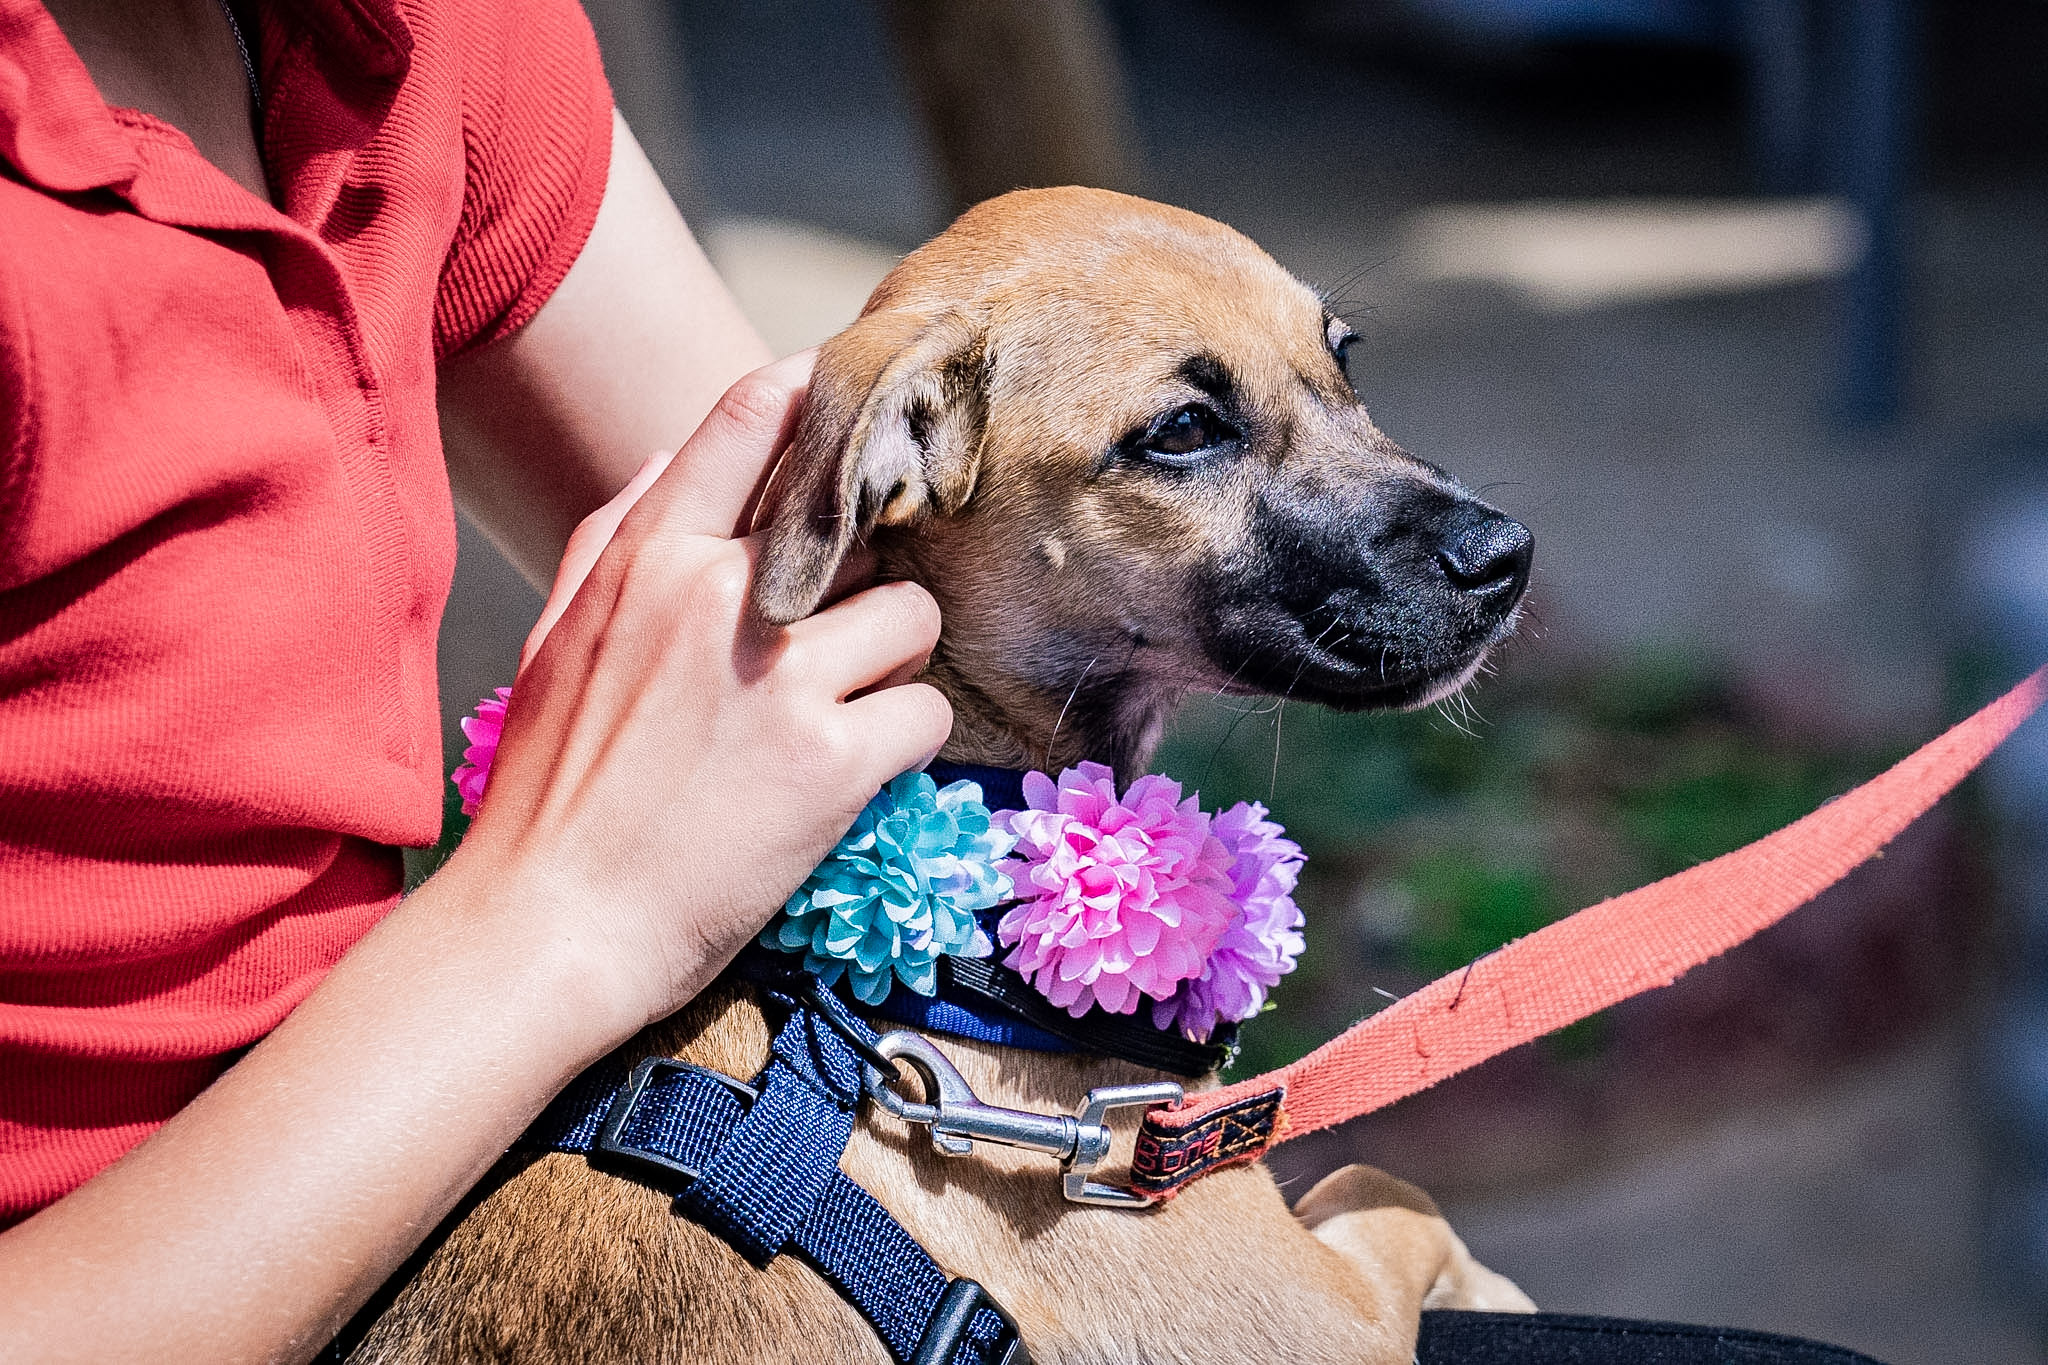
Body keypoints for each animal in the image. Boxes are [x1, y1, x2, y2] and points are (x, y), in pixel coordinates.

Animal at [356, 189, 1540, 1365]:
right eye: (1183, 432)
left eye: (1344, 358)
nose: (1508, 556)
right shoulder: (1317, 1320)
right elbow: (1391, 1189)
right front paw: (1496, 1287)